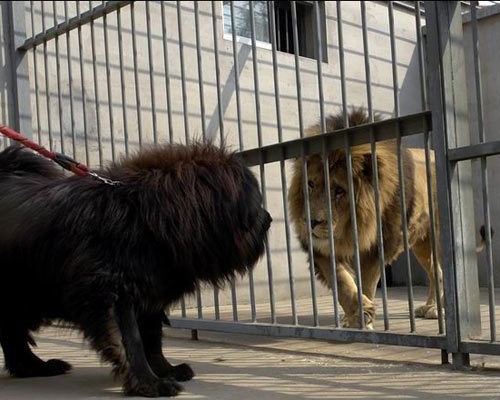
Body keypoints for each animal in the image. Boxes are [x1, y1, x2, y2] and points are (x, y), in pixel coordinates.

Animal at [0, 141, 270, 396]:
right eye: (254, 204)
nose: (268, 219)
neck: (145, 220)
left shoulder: (150, 292)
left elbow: (152, 338)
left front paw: (165, 370)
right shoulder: (111, 292)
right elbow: (132, 341)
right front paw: (148, 383)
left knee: (13, 333)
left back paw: (34, 367)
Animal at [288, 108, 444, 330]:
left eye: (339, 191)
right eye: (310, 184)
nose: (311, 222)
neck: (350, 227)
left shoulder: (375, 248)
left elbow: (367, 284)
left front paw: (362, 318)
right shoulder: (321, 250)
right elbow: (342, 282)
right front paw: (355, 315)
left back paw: (436, 310)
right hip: (421, 244)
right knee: (434, 271)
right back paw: (429, 307)